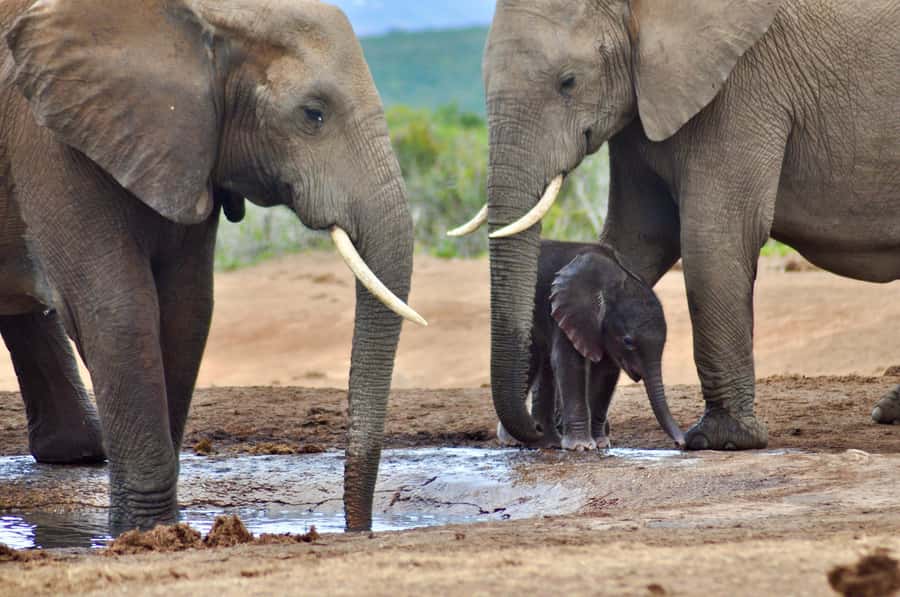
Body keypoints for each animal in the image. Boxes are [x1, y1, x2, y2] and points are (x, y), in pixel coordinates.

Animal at [0, 0, 426, 534]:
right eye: (313, 114)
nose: (356, 529)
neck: (206, 15)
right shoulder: (49, 140)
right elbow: (119, 310)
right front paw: (148, 533)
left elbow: (187, 309)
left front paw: (164, 531)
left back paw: (76, 452)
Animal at [497, 240, 685, 451]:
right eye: (628, 341)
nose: (681, 443)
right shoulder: (569, 311)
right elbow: (569, 363)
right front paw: (582, 447)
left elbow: (606, 371)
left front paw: (602, 444)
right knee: (531, 361)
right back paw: (515, 440)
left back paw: (548, 442)